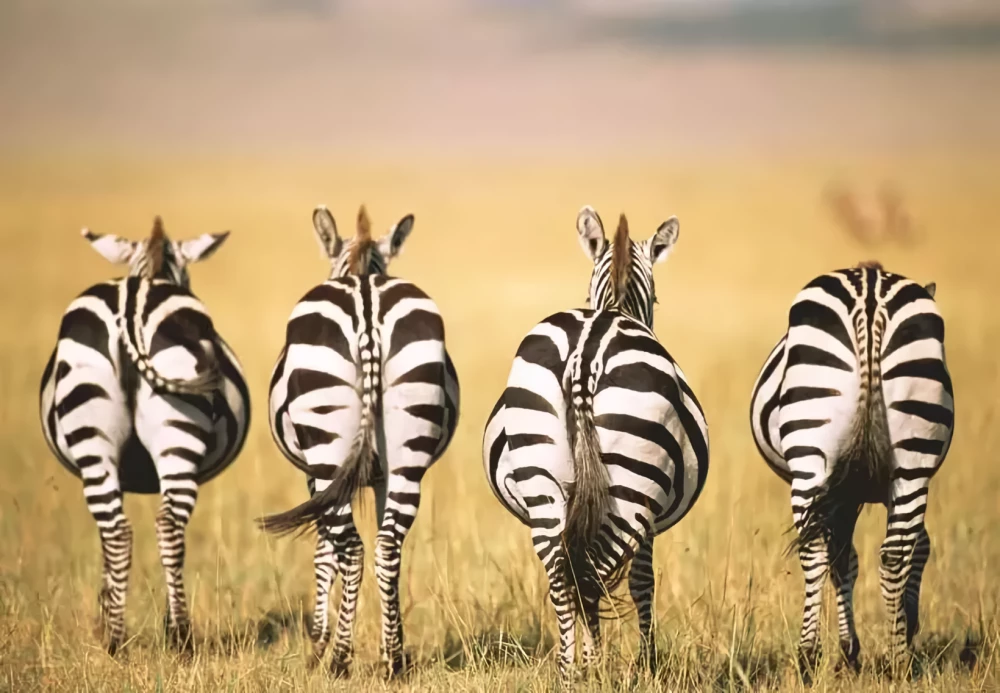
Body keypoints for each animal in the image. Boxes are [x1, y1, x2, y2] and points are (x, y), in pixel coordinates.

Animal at [39, 218, 250, 654]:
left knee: (138, 530)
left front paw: (107, 614)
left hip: (114, 439)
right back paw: (151, 636)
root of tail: (132, 300)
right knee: (151, 529)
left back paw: (143, 638)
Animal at [257, 205, 459, 679]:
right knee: (387, 546)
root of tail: (366, 302)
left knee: (350, 548)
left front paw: (317, 644)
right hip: (408, 451)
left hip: (327, 448)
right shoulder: (381, 476)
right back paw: (395, 662)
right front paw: (387, 646)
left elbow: (322, 552)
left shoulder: (314, 478)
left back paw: (338, 659)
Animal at [482, 207, 709, 682]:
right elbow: (643, 582)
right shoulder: (649, 523)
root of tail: (587, 349)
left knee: (562, 574)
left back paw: (569, 671)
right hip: (631, 489)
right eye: (657, 300)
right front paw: (648, 663)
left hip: (542, 481)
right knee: (591, 574)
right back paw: (593, 666)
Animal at [749, 261, 953, 676]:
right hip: (910, 460)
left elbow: (844, 557)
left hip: (812, 457)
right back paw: (897, 660)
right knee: (893, 552)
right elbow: (900, 548)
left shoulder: (843, 494)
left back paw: (809, 655)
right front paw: (888, 632)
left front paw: (850, 648)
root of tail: (870, 290)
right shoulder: (858, 490)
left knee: (816, 548)